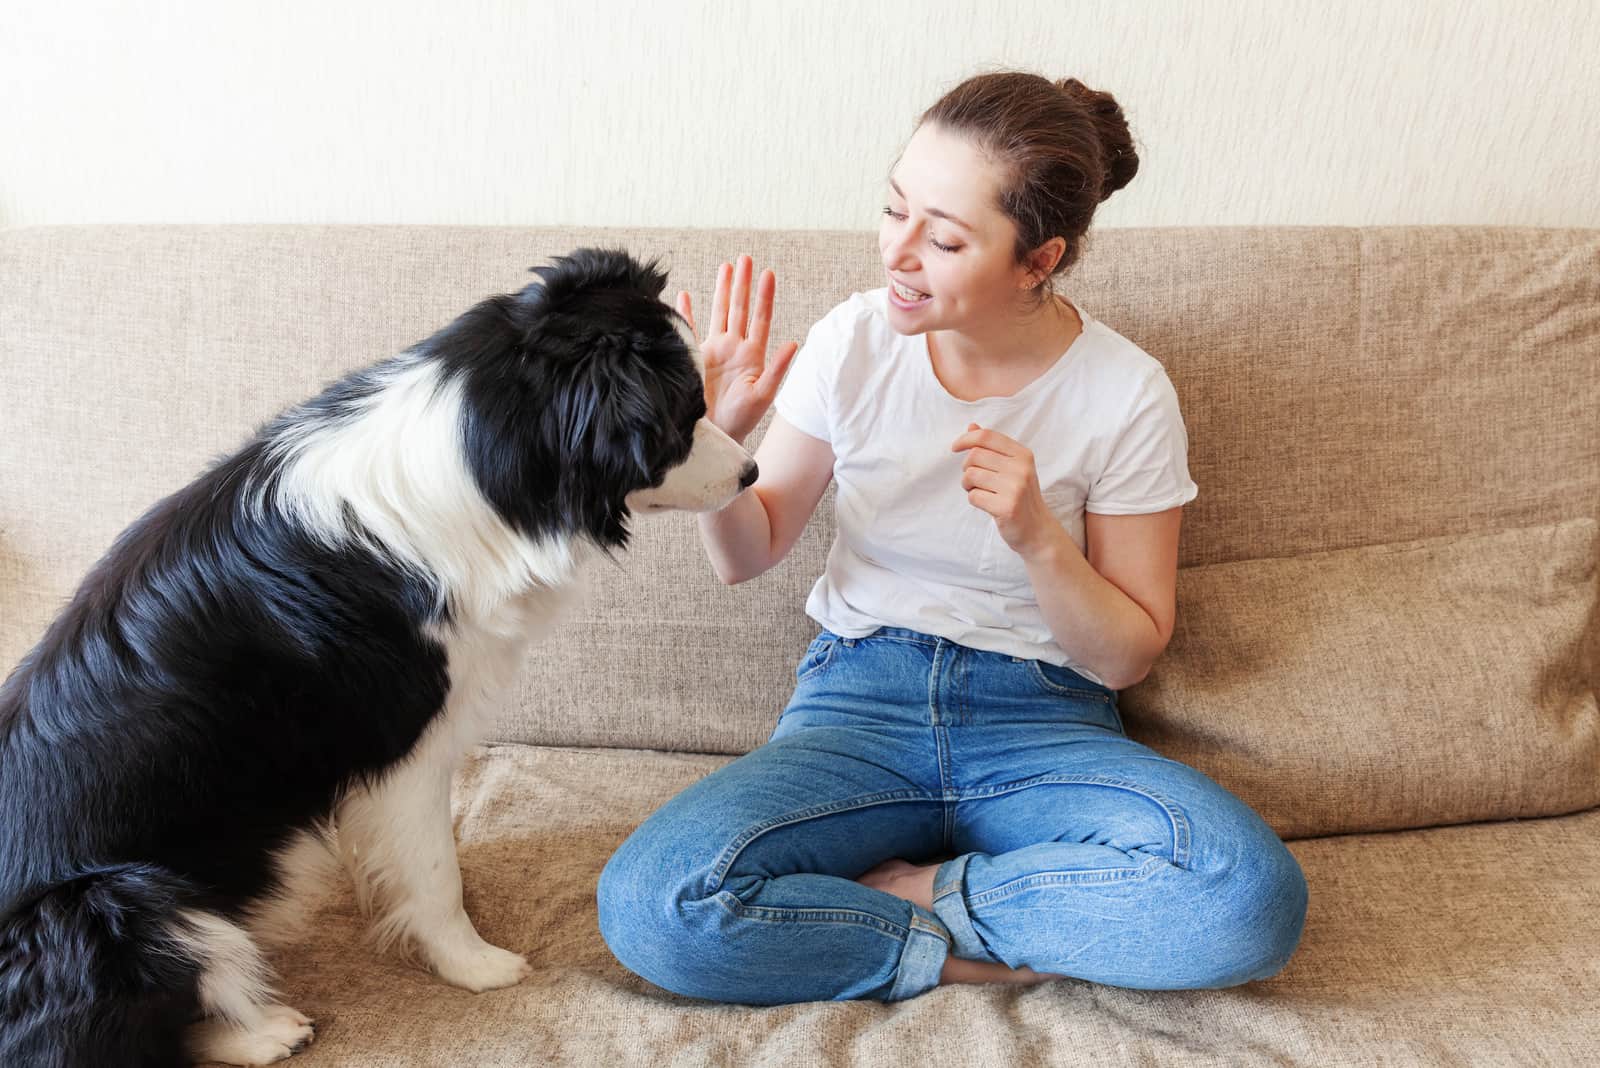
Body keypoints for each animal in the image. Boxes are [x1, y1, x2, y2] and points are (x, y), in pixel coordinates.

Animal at [0, 246, 755, 1061]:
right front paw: (474, 964)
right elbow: (433, 871)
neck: (478, 457)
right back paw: (267, 1032)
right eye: (686, 411)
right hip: (114, 900)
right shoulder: (406, 740)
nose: (751, 472)